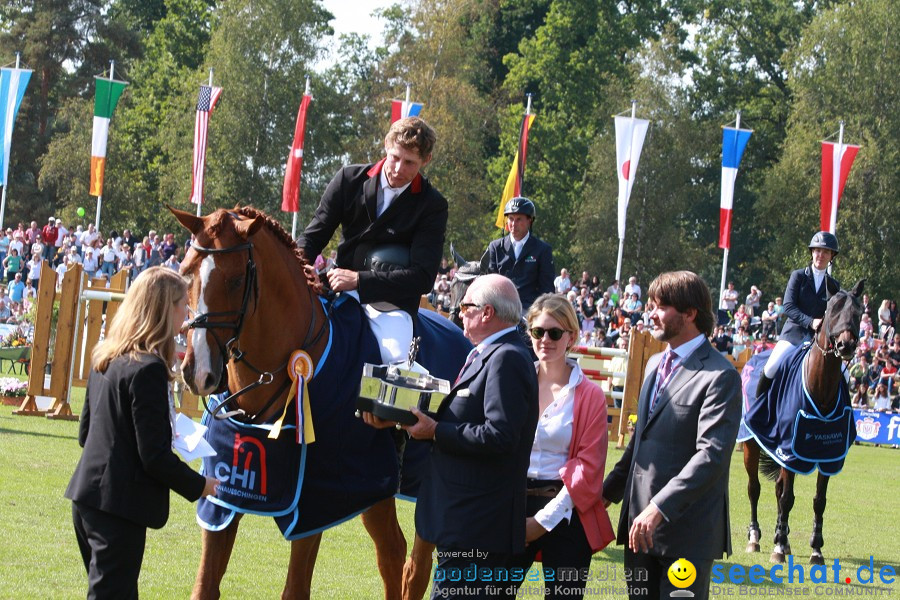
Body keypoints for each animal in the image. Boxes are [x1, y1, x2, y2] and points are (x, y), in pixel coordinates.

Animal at [171, 205, 472, 596]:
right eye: (185, 273)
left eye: (236, 280)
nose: (197, 371)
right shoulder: (225, 496)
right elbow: (205, 585)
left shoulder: (317, 501)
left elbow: (295, 589)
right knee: (393, 552)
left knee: (413, 564)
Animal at [740, 278, 864, 564]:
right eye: (832, 310)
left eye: (859, 312)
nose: (846, 346)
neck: (822, 389)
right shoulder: (790, 451)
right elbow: (787, 498)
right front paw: (777, 550)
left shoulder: (828, 456)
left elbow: (819, 500)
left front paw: (815, 550)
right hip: (752, 444)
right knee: (755, 488)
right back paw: (756, 538)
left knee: (776, 488)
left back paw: (782, 538)